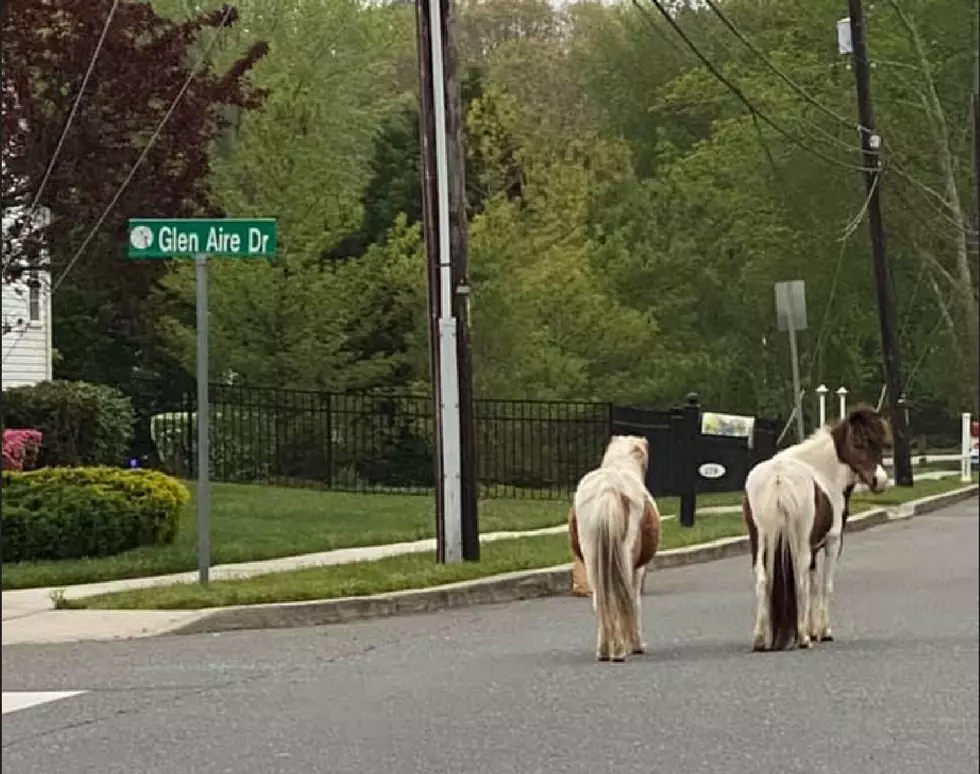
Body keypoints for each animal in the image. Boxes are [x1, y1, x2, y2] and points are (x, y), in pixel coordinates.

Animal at [568, 434, 660, 664]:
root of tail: (608, 488)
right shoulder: (638, 569)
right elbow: (634, 601)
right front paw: (636, 645)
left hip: (592, 558)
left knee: (601, 600)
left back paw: (604, 651)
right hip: (624, 558)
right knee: (620, 598)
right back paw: (619, 651)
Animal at [740, 406, 892, 656]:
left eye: (880, 443)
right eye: (858, 442)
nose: (879, 481)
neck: (824, 472)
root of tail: (778, 477)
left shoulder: (812, 548)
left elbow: (812, 584)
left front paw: (813, 630)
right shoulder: (832, 542)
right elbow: (823, 585)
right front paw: (823, 632)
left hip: (760, 541)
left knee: (763, 579)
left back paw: (761, 640)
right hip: (799, 542)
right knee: (798, 580)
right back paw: (802, 638)